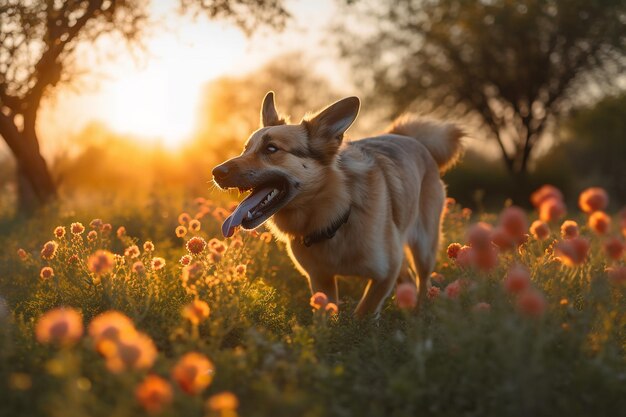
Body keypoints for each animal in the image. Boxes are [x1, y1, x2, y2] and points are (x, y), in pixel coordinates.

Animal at [212, 91, 460, 316]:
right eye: (245, 149)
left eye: (271, 149)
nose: (216, 172)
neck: (336, 214)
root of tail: (410, 139)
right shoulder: (321, 281)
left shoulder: (385, 273)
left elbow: (362, 314)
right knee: (407, 280)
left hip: (424, 248)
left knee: (422, 284)